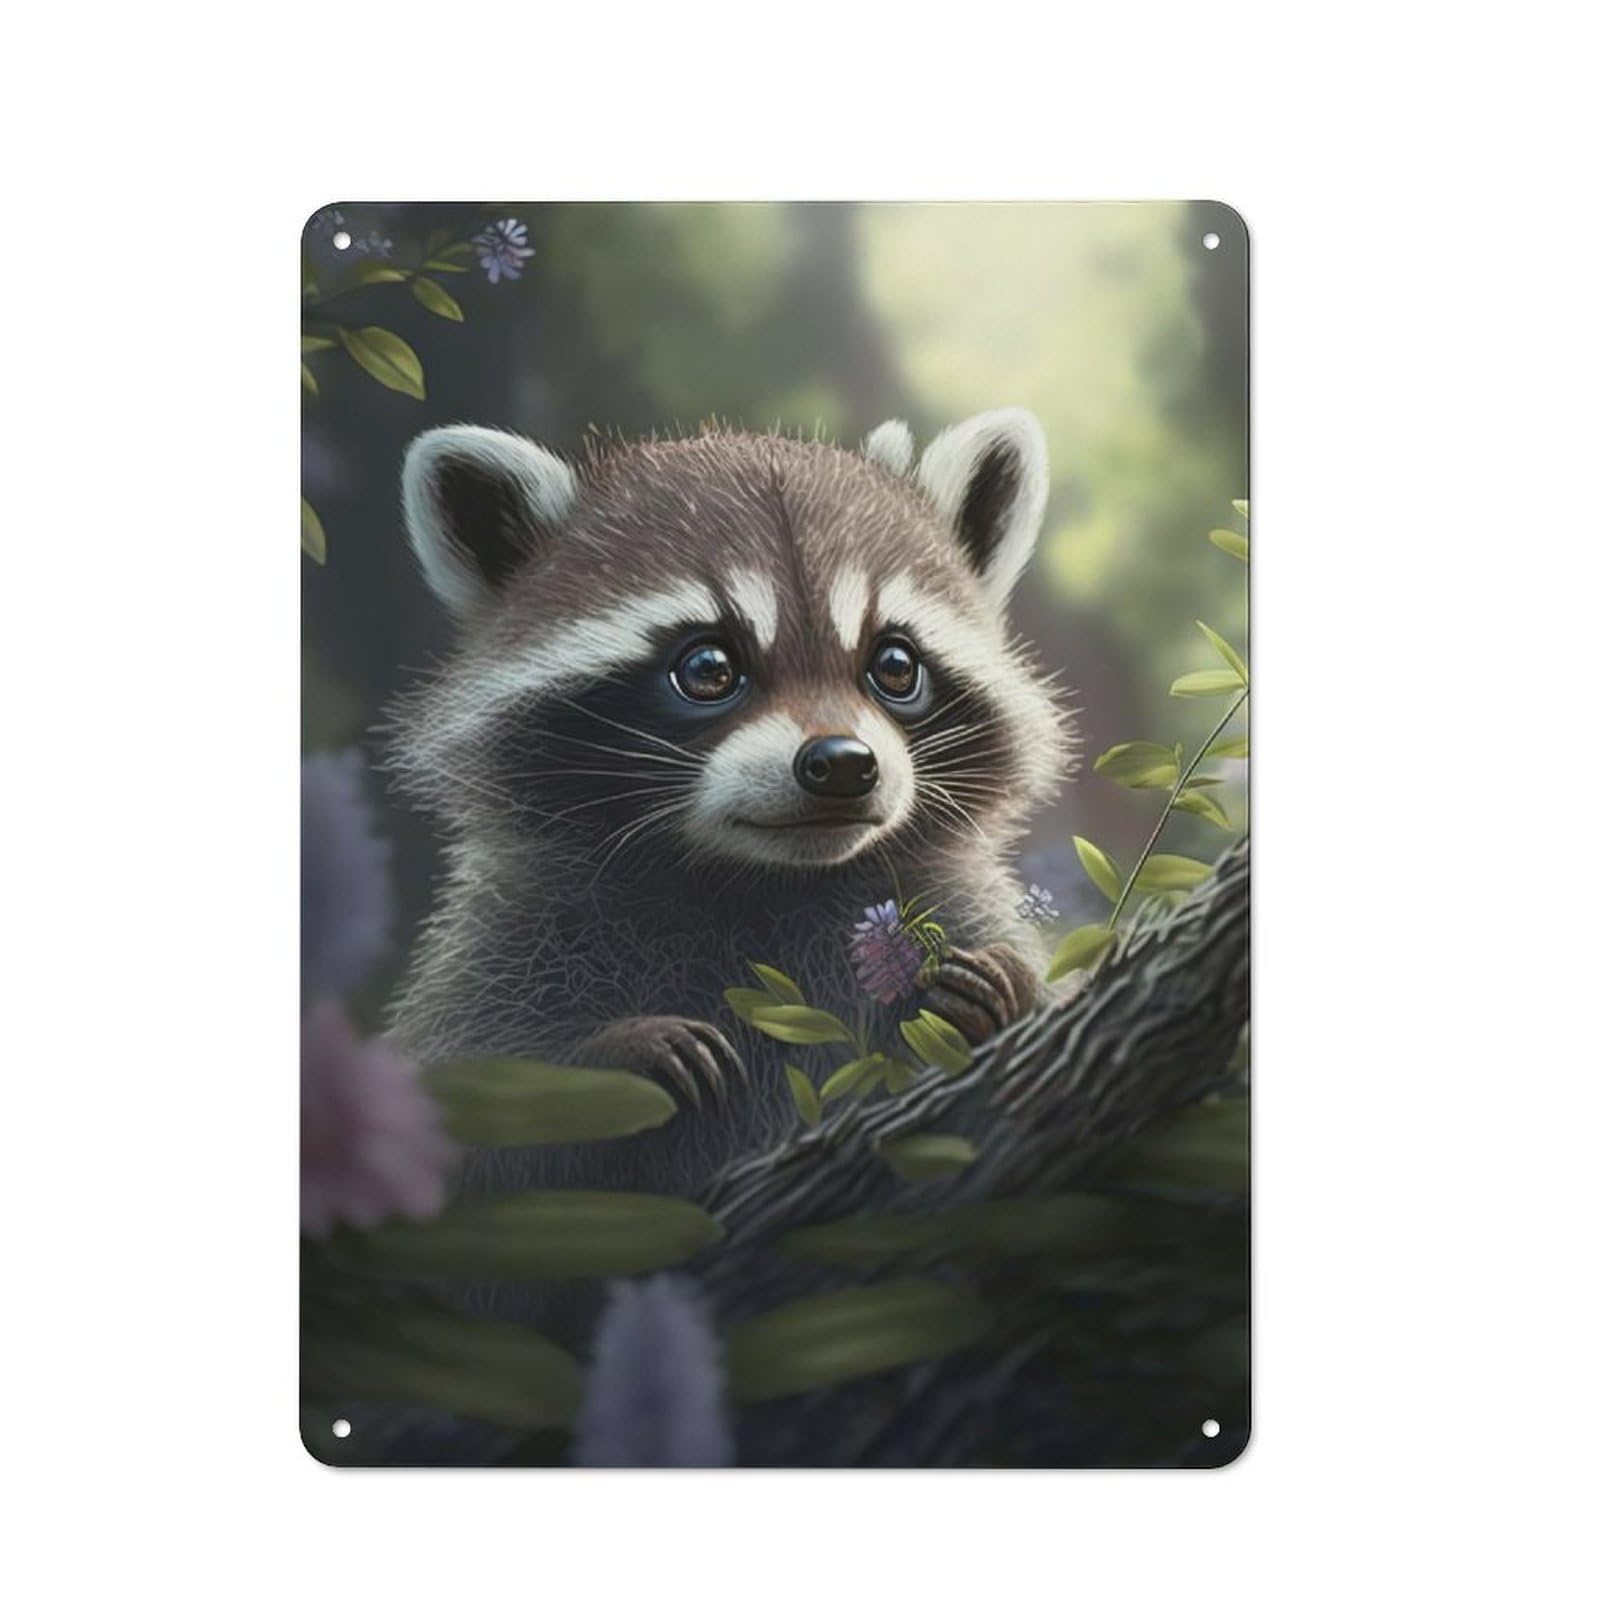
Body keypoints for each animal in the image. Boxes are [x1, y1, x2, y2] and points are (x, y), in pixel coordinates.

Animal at [386, 410, 1074, 1200]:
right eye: (709, 667)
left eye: (896, 665)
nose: (843, 766)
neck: (768, 877)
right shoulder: (509, 942)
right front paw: (611, 1059)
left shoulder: (952, 903)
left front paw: (1005, 994)